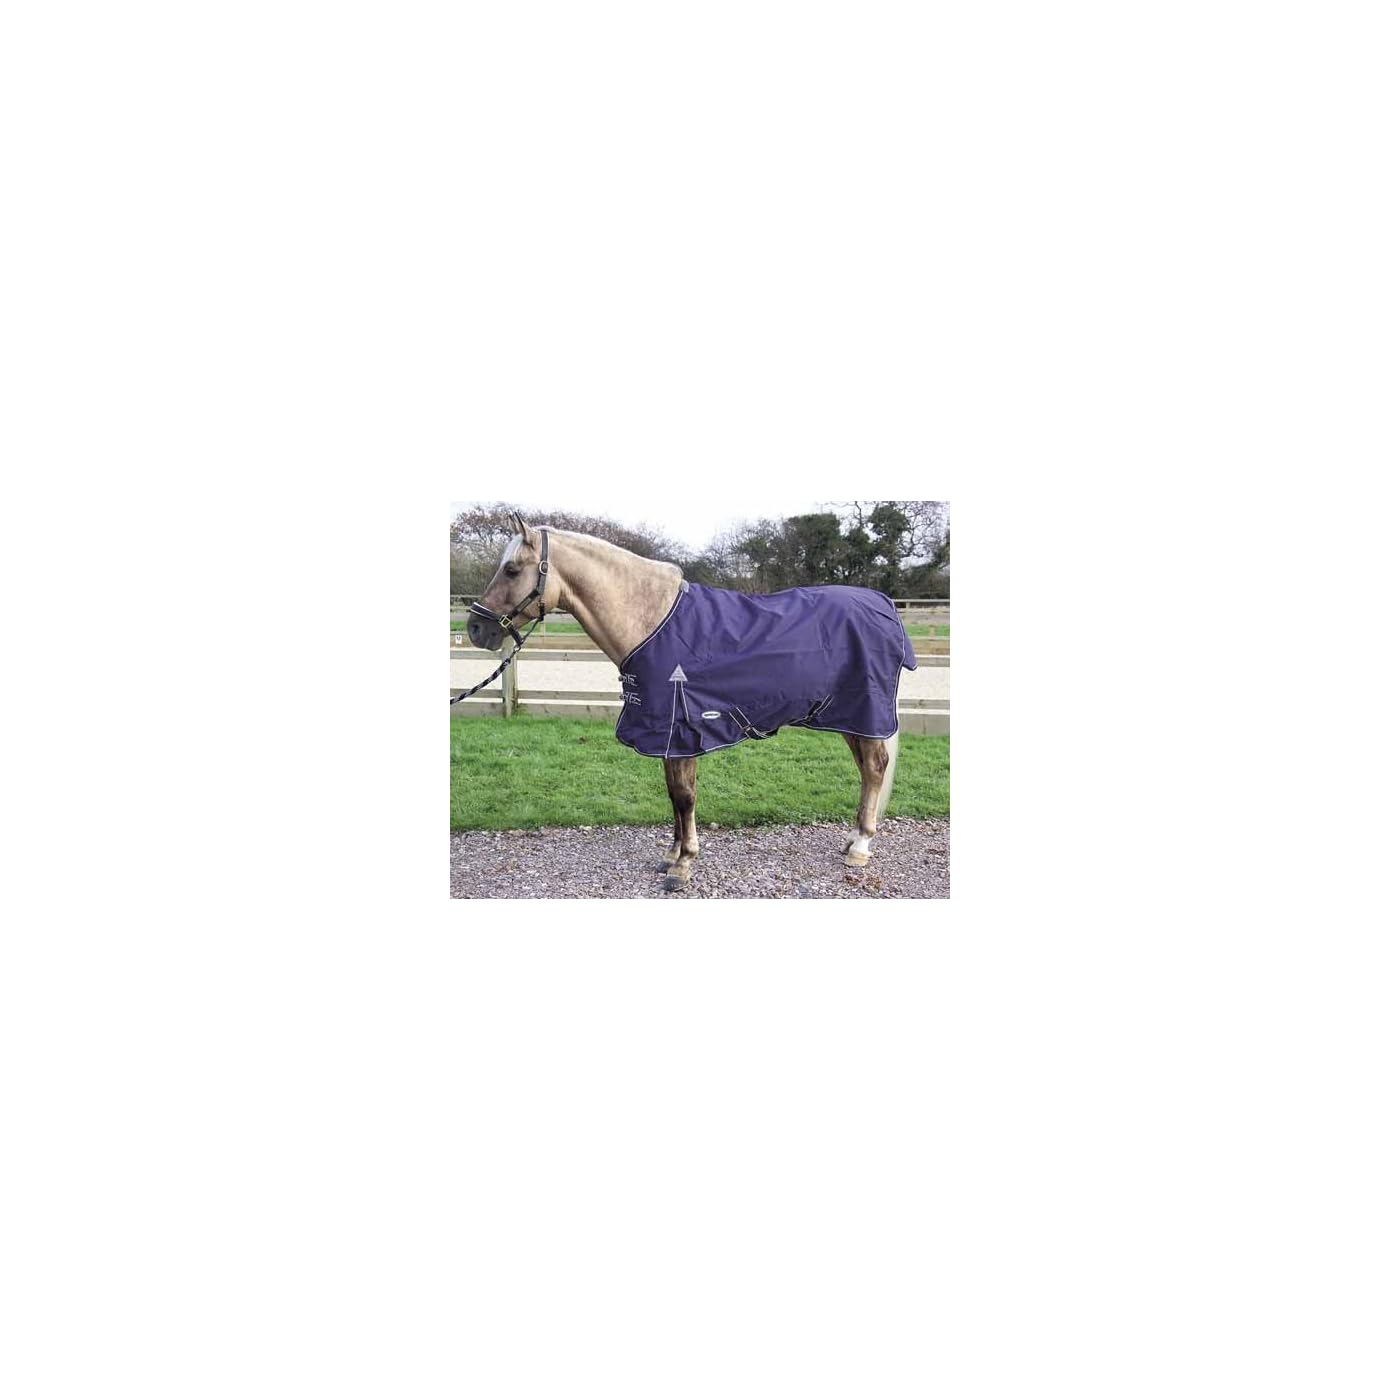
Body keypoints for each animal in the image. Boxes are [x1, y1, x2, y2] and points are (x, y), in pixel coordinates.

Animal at [465, 513, 916, 892]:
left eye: (512, 569)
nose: (474, 628)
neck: (650, 621)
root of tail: (883, 605)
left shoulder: (679, 730)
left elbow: (684, 796)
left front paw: (683, 865)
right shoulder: (666, 734)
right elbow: (673, 794)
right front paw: (671, 855)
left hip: (864, 711)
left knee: (874, 767)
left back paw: (860, 848)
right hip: (848, 717)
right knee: (867, 769)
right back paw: (853, 839)